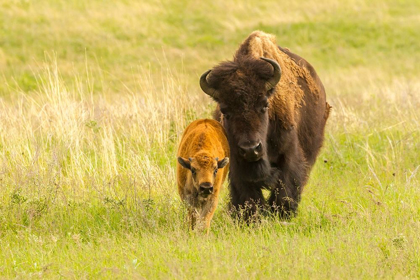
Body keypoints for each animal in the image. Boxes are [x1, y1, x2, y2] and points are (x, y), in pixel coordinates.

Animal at [199, 30, 330, 219]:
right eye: (225, 110)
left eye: (265, 104)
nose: (250, 149)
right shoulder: (237, 162)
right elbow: (248, 193)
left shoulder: (289, 155)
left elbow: (286, 188)